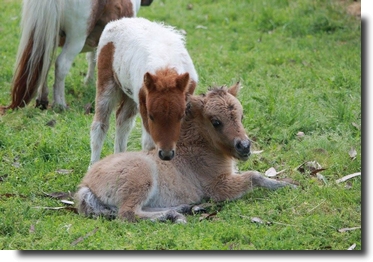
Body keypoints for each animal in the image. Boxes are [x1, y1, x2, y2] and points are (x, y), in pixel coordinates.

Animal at [76, 84, 296, 223]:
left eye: (241, 116)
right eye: (216, 122)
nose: (244, 147)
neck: (195, 150)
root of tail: (87, 184)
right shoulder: (218, 187)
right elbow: (254, 176)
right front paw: (287, 185)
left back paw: (183, 209)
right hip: (141, 179)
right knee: (127, 213)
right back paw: (175, 216)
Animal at [89, 17, 198, 167]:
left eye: (181, 116)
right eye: (151, 116)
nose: (166, 154)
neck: (166, 70)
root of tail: (118, 21)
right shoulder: (144, 107)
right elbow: (149, 145)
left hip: (131, 96)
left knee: (122, 121)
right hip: (107, 84)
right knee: (100, 126)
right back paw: (93, 166)